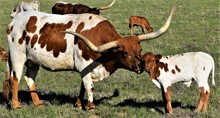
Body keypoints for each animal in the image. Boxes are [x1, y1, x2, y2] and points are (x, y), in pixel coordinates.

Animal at [2, 4, 179, 109]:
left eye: (140, 48)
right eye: (124, 52)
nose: (141, 66)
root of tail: (16, 20)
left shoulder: (86, 68)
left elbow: (83, 86)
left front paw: (79, 103)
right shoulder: (84, 64)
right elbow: (89, 86)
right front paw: (91, 107)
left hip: (33, 60)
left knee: (29, 78)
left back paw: (38, 103)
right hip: (18, 56)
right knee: (15, 79)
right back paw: (16, 105)